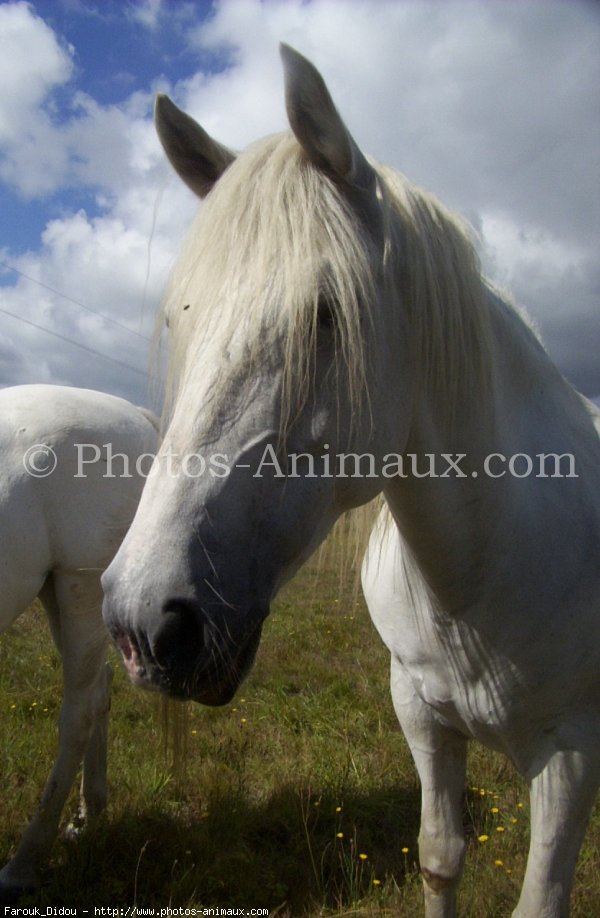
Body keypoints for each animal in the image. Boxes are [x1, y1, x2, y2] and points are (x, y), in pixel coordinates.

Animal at [0, 384, 157, 904]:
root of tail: (135, 415)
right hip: (54, 590)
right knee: (99, 691)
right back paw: (89, 814)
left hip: (79, 585)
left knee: (79, 713)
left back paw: (24, 862)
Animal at [101, 46, 596, 916]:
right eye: (177, 321)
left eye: (327, 315)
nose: (142, 623)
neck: (484, 565)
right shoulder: (421, 714)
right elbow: (440, 856)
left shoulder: (568, 751)